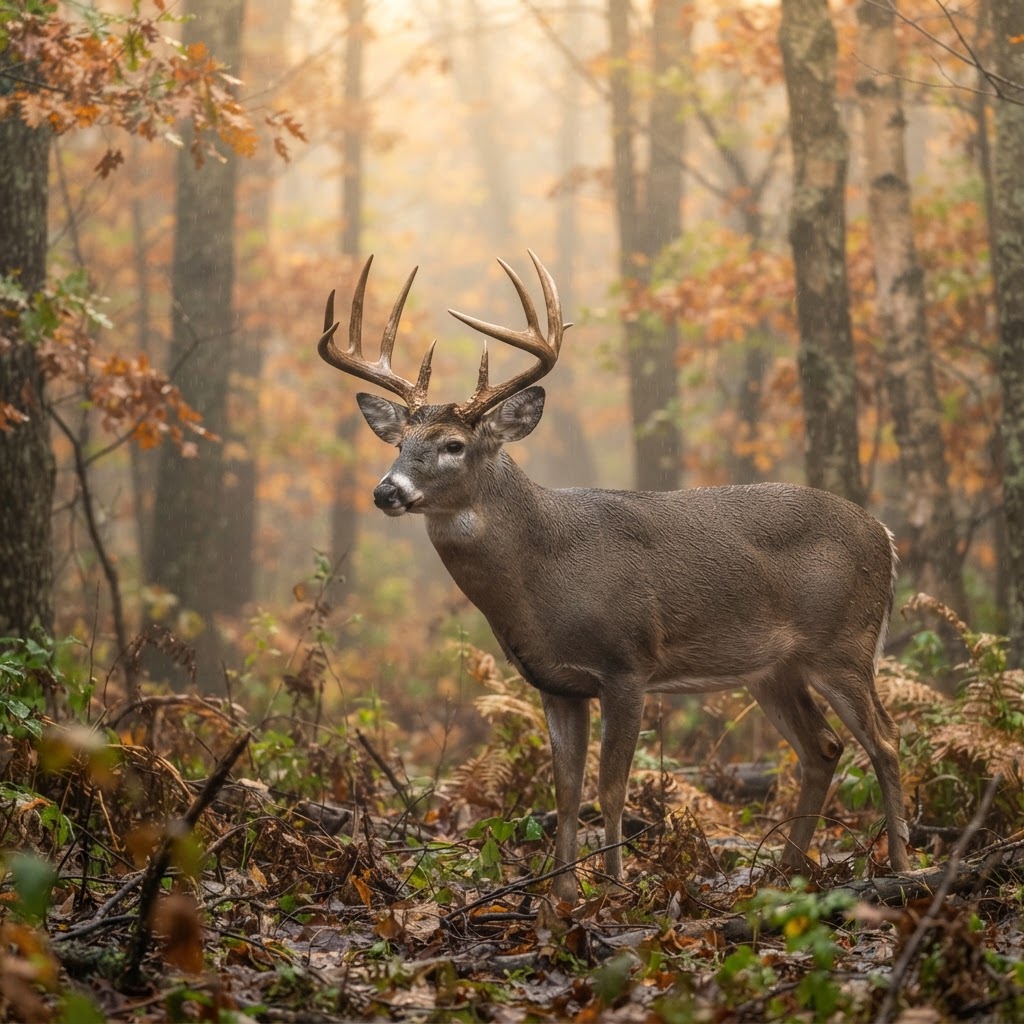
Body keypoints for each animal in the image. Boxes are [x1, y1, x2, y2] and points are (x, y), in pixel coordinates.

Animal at [316, 251, 911, 902]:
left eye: (452, 444)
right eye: (399, 441)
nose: (386, 490)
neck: (544, 575)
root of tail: (885, 536)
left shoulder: (629, 663)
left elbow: (611, 787)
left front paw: (615, 890)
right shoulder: (555, 682)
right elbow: (567, 791)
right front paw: (563, 895)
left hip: (844, 644)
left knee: (885, 741)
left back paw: (902, 866)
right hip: (774, 668)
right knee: (823, 748)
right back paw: (787, 871)